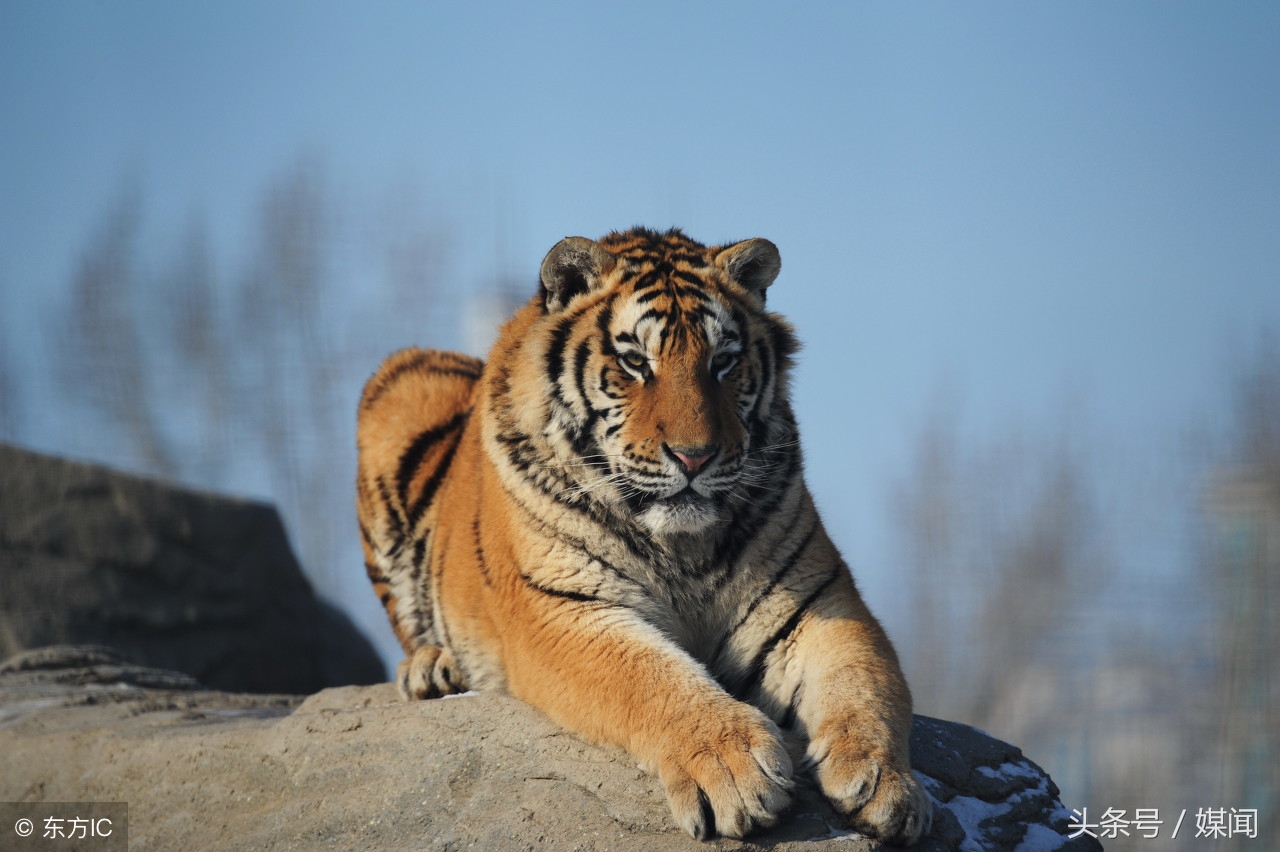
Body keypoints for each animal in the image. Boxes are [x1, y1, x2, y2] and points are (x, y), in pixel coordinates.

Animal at [358, 227, 931, 844]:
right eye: (635, 362)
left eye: (723, 362)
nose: (694, 456)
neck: (682, 547)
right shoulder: (562, 608)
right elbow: (652, 679)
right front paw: (735, 769)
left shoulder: (815, 602)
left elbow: (865, 680)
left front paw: (886, 783)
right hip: (400, 382)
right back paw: (433, 670)